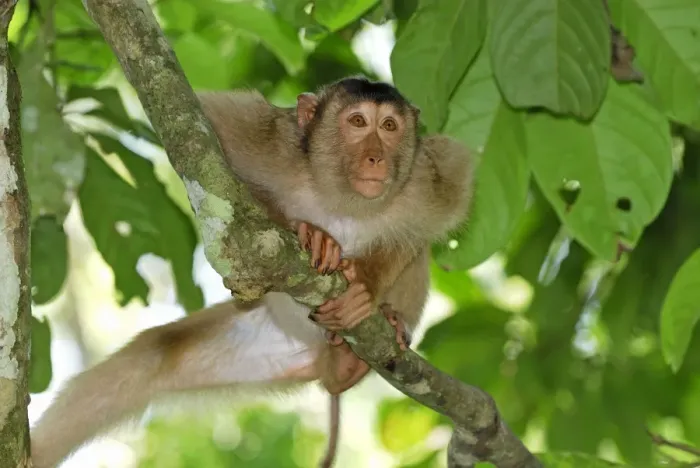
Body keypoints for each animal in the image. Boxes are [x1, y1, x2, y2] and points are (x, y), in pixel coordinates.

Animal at [30, 77, 474, 468]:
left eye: (390, 127)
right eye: (358, 122)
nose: (376, 157)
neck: (341, 198)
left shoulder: (426, 178)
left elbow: (432, 219)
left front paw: (365, 283)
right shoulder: (271, 141)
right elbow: (199, 146)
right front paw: (309, 233)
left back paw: (368, 341)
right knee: (154, 354)